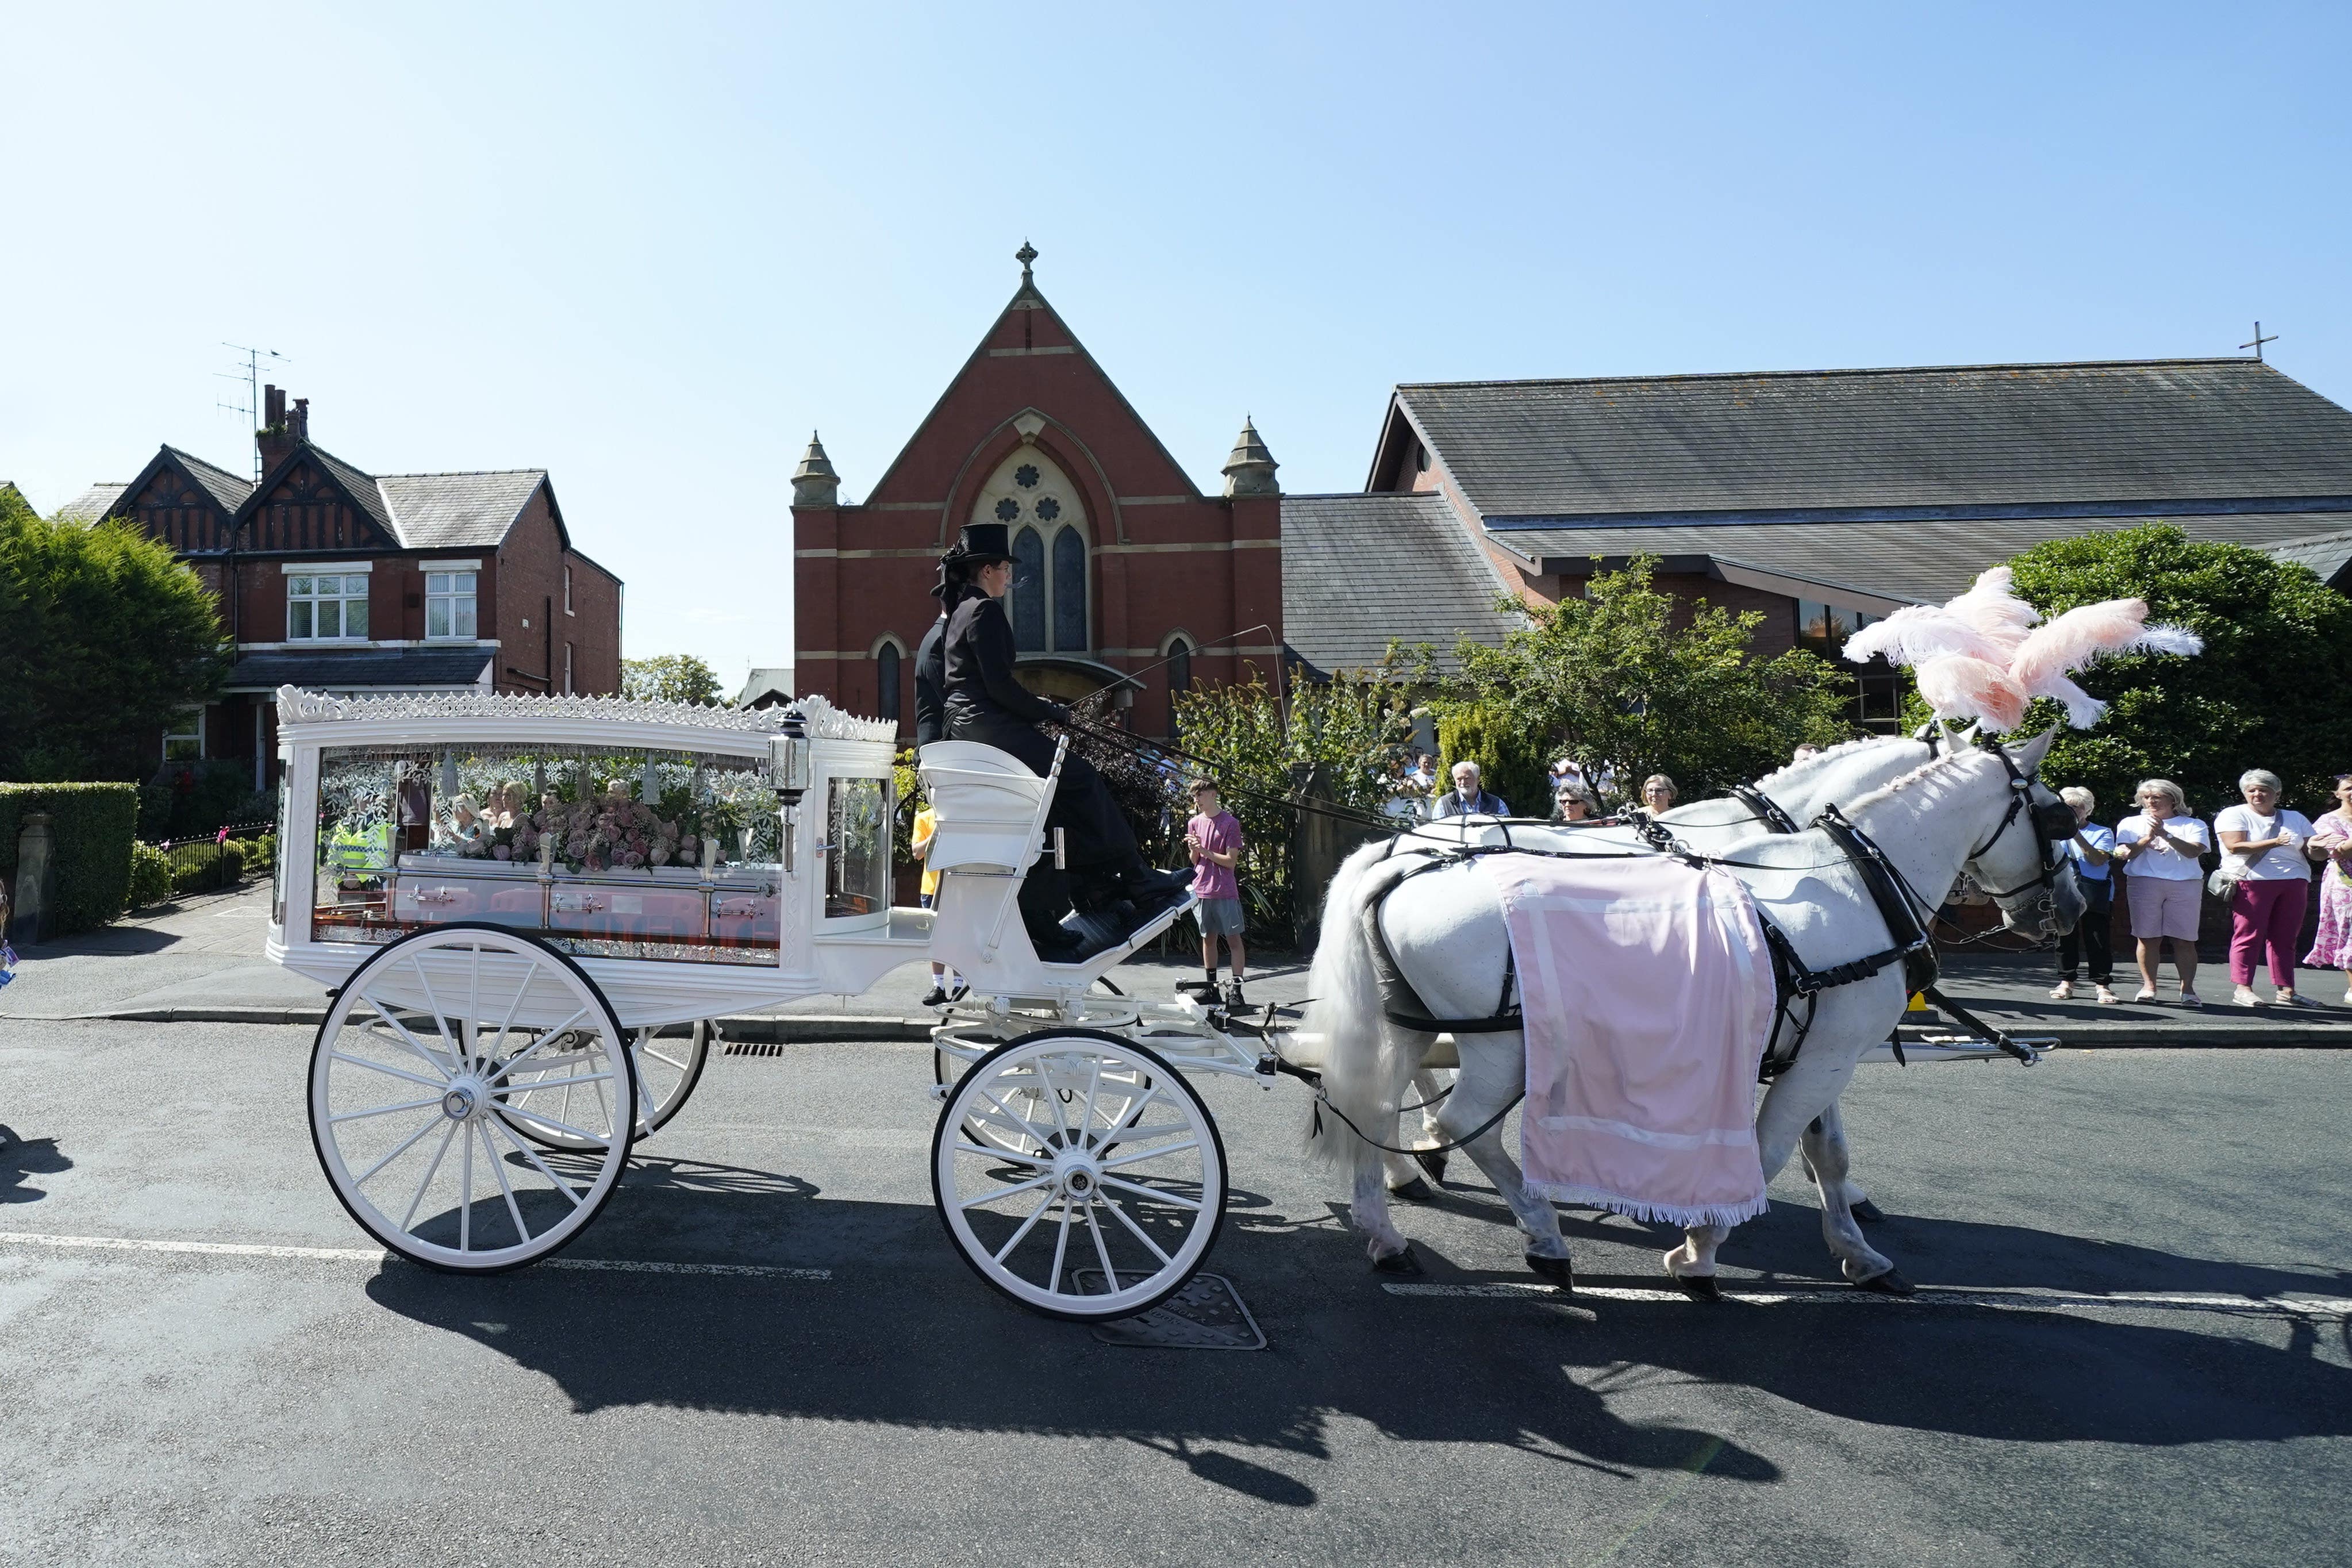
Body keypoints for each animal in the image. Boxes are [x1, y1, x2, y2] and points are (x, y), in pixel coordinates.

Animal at [1298, 728, 2088, 1297]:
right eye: (2057, 815)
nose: (2070, 909)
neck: (1847, 879)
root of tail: (1396, 856)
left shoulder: (1817, 1045)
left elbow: (1825, 1151)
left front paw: (1858, 1249)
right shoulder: (1822, 1052)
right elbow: (1770, 1150)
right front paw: (1702, 1246)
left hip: (1406, 1024)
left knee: (1372, 1105)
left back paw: (1390, 1224)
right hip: (1503, 1045)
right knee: (1467, 1122)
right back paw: (1537, 1230)